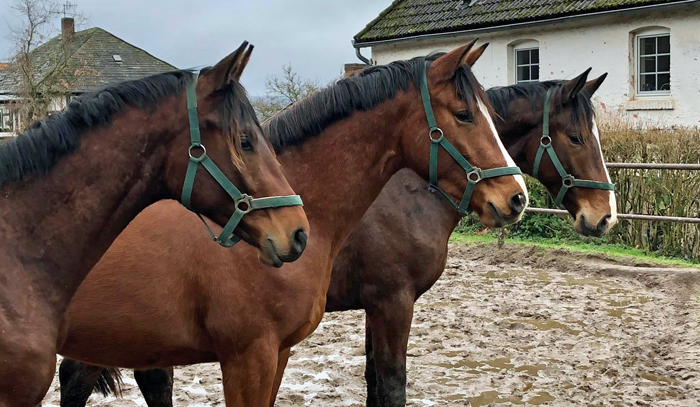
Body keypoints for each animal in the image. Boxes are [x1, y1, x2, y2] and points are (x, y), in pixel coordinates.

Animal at [61, 66, 616, 404]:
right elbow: (390, 385)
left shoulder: (375, 306)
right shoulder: (393, 302)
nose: (604, 216)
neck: (405, 189)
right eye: (574, 137)